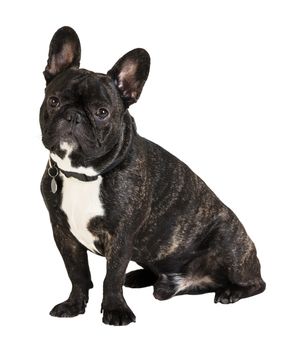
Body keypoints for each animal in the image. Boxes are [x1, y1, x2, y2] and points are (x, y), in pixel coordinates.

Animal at [39, 26, 266, 326]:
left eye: (102, 112)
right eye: (54, 101)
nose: (73, 116)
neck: (84, 174)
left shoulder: (121, 236)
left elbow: (111, 278)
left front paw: (115, 310)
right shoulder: (63, 233)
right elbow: (76, 274)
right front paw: (74, 305)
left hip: (229, 243)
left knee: (256, 283)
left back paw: (231, 292)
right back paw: (141, 277)